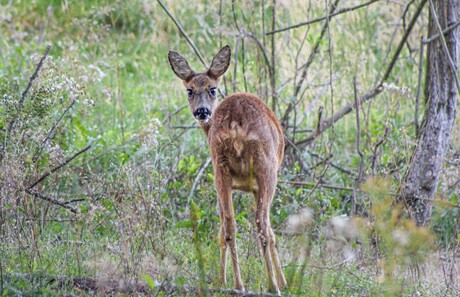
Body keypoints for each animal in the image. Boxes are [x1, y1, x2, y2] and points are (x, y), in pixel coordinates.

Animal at [167, 44, 286, 294]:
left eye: (212, 89)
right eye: (190, 91)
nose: (202, 111)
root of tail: (235, 123)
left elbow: (224, 226)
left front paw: (221, 280)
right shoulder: (257, 186)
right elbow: (271, 231)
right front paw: (284, 281)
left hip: (219, 168)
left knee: (229, 224)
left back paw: (237, 285)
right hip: (267, 168)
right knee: (261, 223)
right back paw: (272, 286)